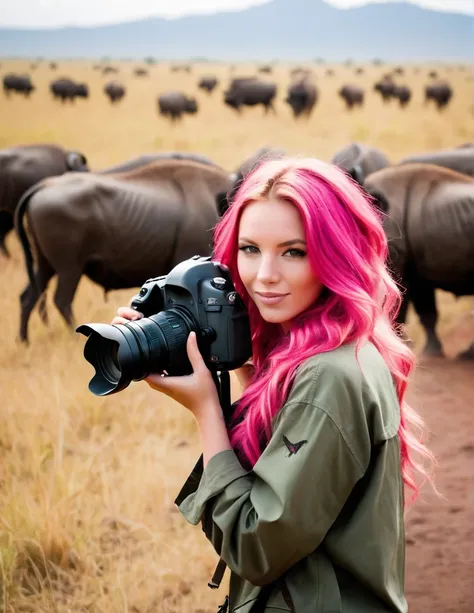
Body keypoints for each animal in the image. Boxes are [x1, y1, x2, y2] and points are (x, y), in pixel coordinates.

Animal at [15, 158, 234, 342]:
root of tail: (44, 185)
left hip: (46, 265)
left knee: (29, 297)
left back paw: (23, 341)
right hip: (69, 268)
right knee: (62, 300)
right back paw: (74, 336)